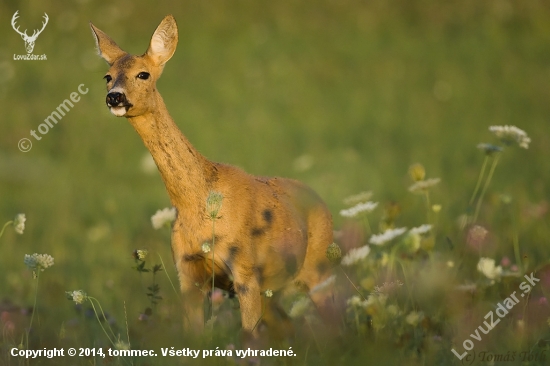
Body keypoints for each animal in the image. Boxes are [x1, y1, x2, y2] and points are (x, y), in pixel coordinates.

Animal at [90, 14, 336, 336]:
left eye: (143, 74)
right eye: (107, 77)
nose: (114, 97)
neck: (199, 202)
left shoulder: (245, 271)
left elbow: (248, 336)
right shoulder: (188, 273)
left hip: (319, 268)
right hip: (274, 289)